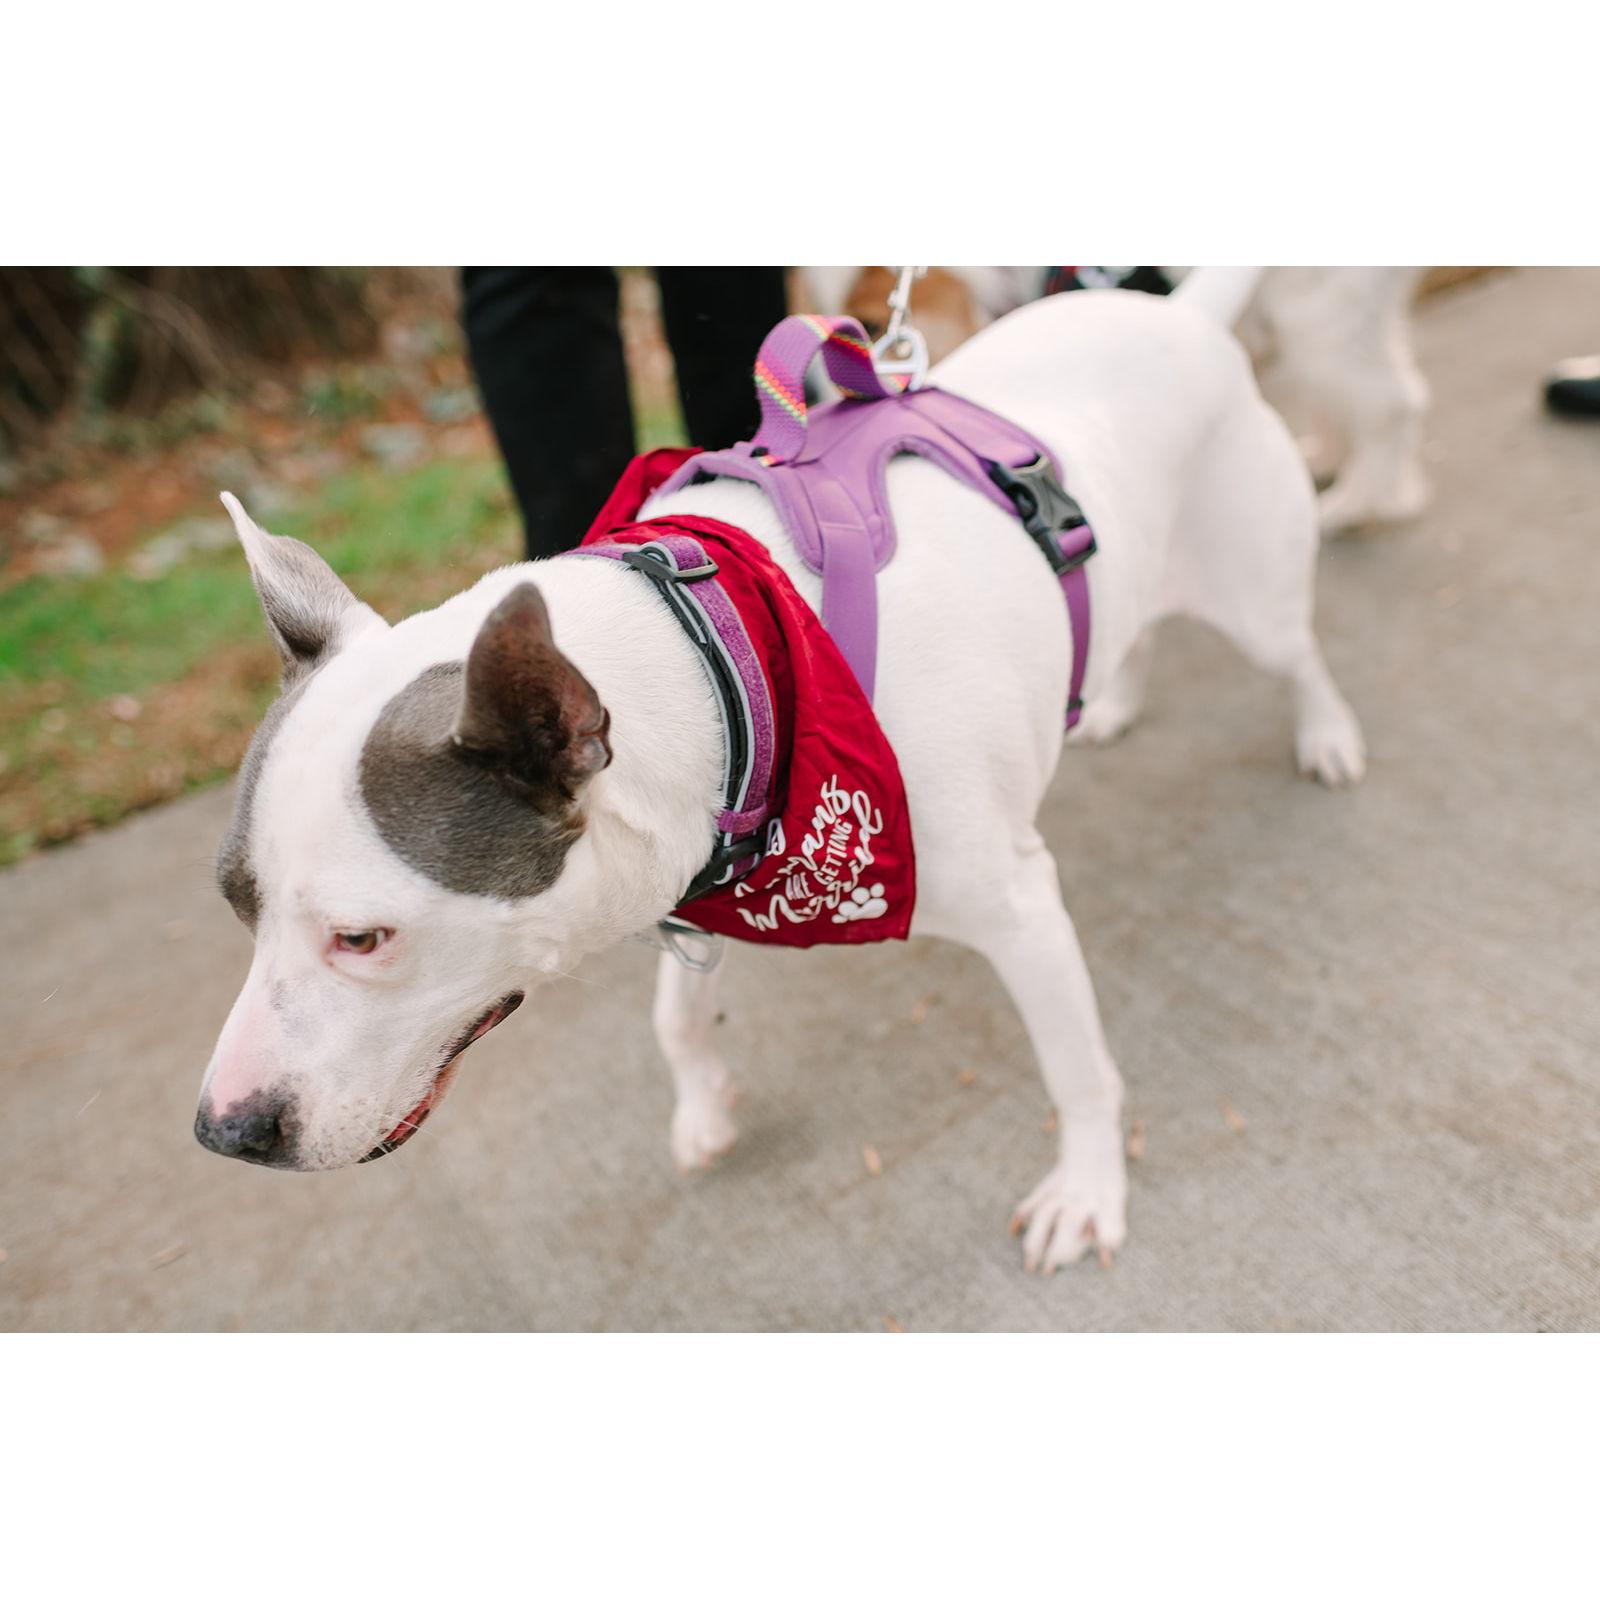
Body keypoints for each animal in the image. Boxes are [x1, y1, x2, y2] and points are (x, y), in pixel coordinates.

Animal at [193, 272, 1356, 1273]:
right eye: (235, 905)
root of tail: (1181, 313)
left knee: (1296, 650)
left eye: (364, 939)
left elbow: (1077, 1070)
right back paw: (1113, 693)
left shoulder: (1018, 906)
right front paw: (704, 1103)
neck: (723, 656)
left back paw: (1325, 731)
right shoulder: (699, 871)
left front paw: (1087, 1189)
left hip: (1255, 585)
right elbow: (677, 1013)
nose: (222, 1131)